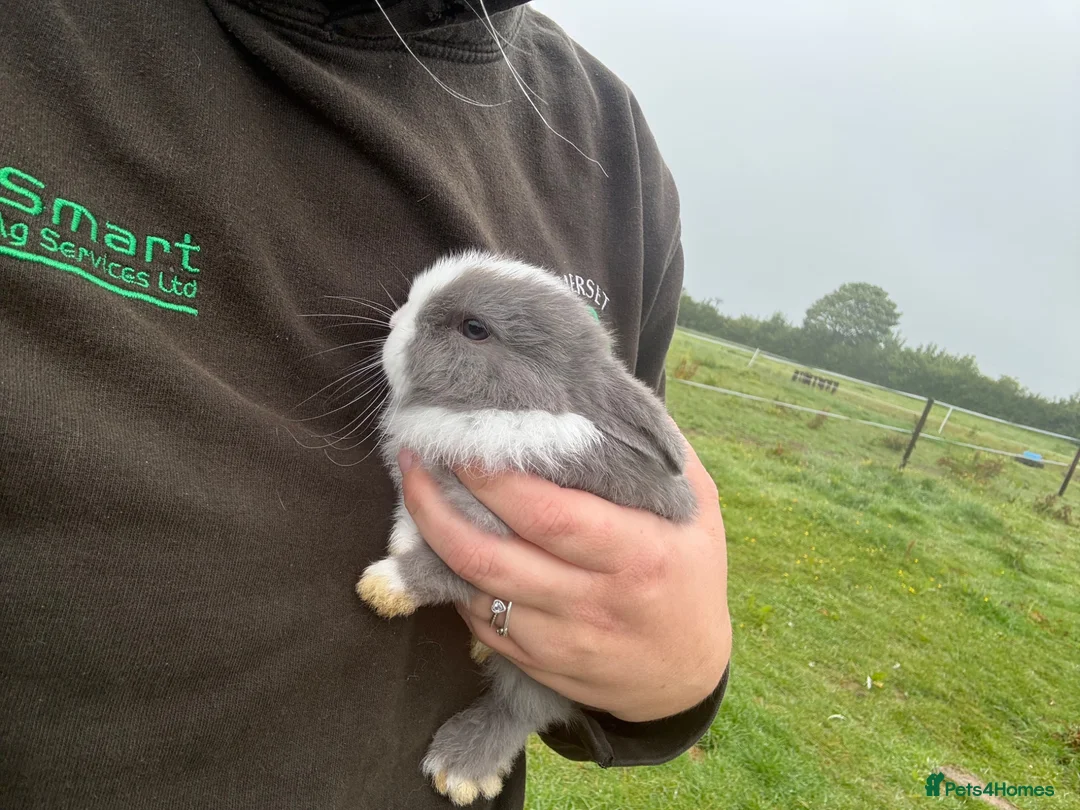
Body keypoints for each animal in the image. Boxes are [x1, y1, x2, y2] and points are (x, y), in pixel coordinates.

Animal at [355, 249, 698, 805]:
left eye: (474, 329)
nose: (394, 323)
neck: (506, 410)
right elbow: (407, 530)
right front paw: (395, 553)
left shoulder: (486, 538)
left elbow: (438, 569)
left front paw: (383, 588)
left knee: (519, 711)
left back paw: (460, 768)